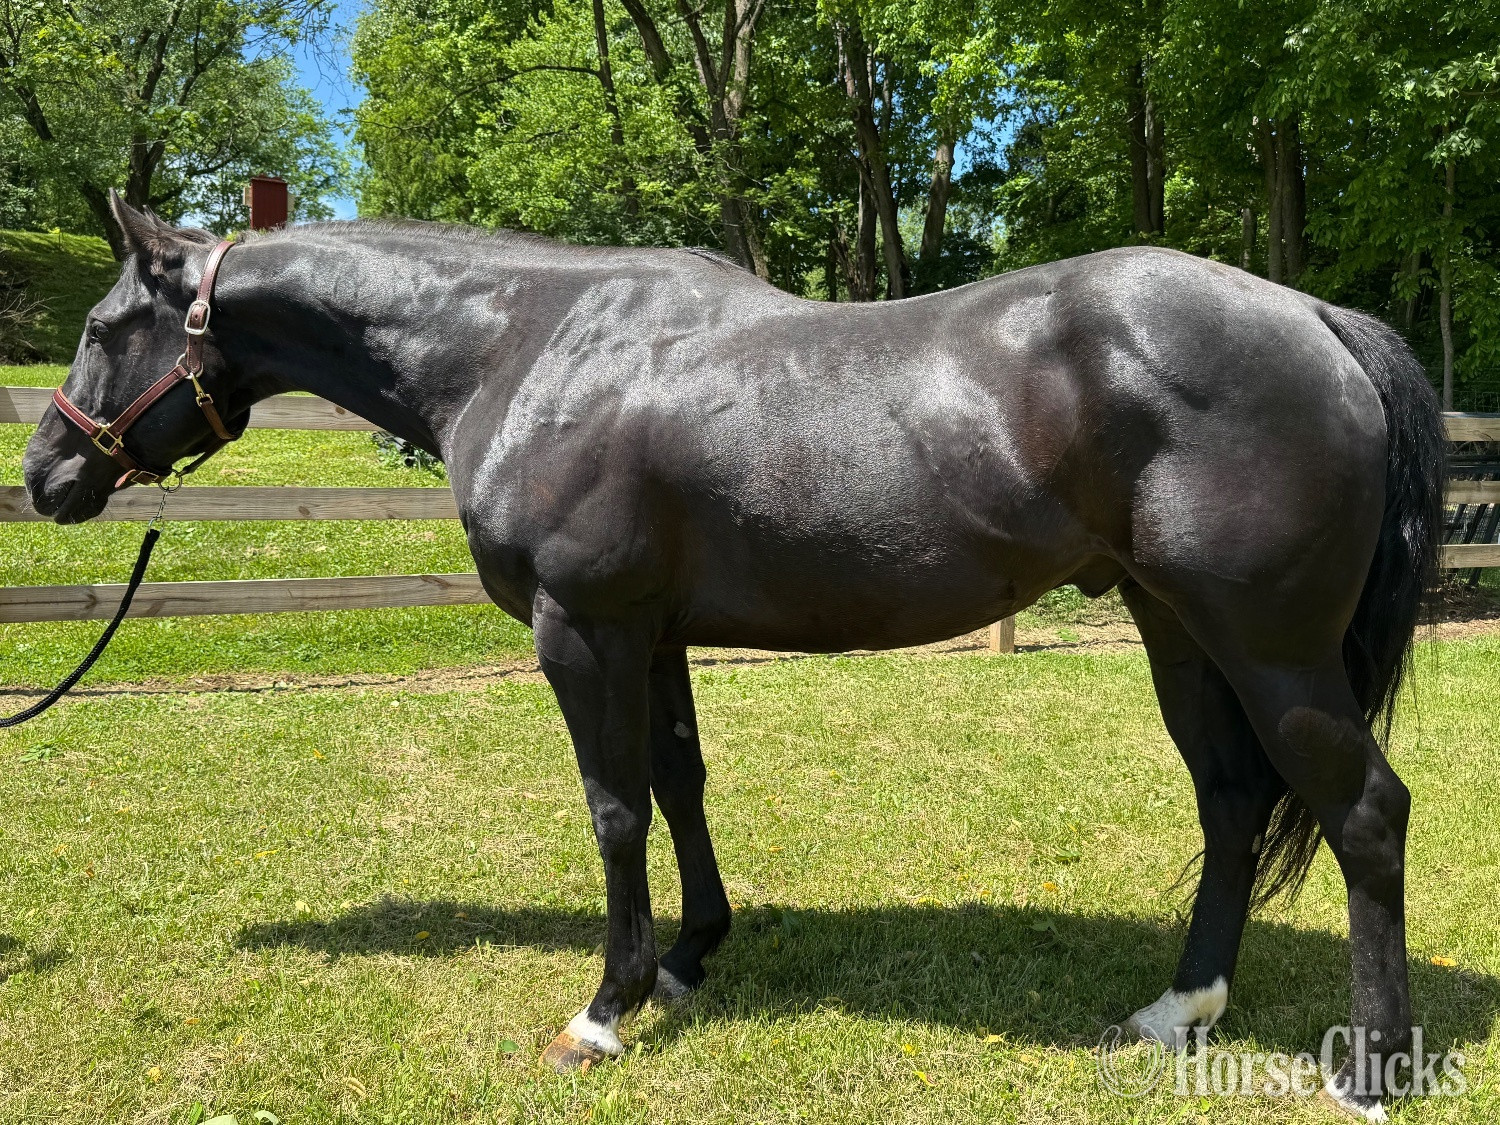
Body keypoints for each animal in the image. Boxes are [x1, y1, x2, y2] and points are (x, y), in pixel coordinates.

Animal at [23, 194, 1444, 1121]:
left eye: (100, 325)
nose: (45, 476)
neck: (527, 344)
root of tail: (1316, 318)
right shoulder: (649, 632)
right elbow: (680, 783)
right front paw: (692, 956)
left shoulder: (581, 628)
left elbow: (612, 808)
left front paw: (604, 1010)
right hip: (1173, 626)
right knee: (1231, 798)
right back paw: (1178, 1009)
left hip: (1268, 648)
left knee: (1365, 813)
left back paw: (1370, 1072)